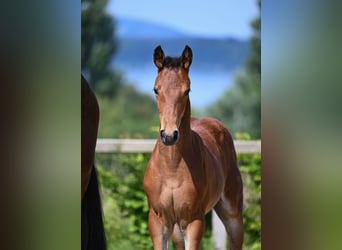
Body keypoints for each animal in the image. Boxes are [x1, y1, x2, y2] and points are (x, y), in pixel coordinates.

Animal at [143, 46, 244, 249]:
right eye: (156, 90)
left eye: (187, 90)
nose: (169, 135)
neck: (172, 167)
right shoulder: (158, 220)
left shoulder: (194, 220)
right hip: (176, 229)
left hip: (232, 213)